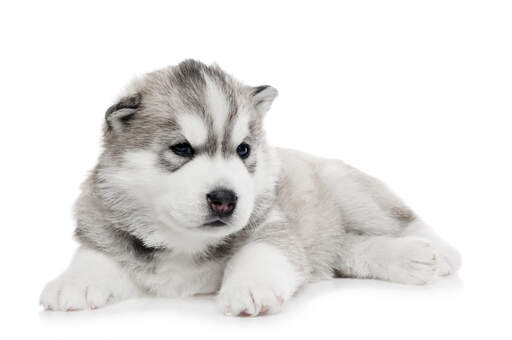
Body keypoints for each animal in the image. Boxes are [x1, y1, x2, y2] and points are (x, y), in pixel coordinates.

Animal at [42, 59, 462, 316]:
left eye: (243, 149)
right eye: (182, 149)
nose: (225, 200)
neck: (184, 242)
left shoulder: (272, 225)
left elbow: (261, 253)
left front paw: (251, 287)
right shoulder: (105, 229)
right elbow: (95, 256)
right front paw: (72, 283)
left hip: (347, 187)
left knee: (403, 220)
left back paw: (436, 253)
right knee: (350, 248)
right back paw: (410, 259)